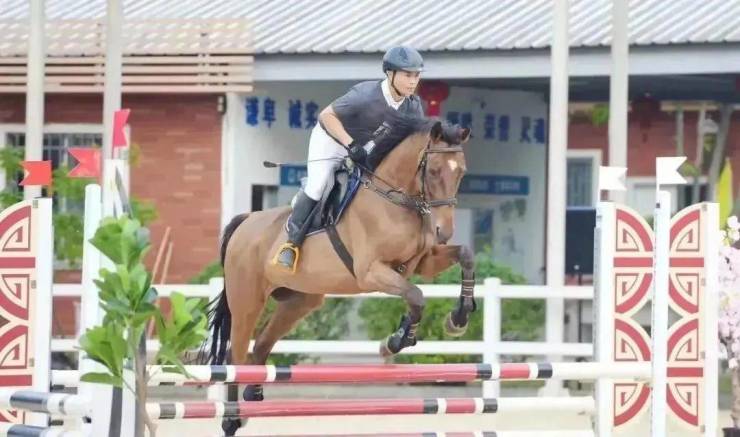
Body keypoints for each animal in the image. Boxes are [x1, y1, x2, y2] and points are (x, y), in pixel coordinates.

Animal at [205, 112, 476, 435]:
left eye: (461, 173)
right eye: (433, 171)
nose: (443, 231)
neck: (395, 199)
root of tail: (246, 221)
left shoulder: (424, 262)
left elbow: (465, 256)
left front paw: (458, 319)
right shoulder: (371, 272)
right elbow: (416, 295)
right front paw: (395, 342)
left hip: (300, 301)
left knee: (259, 347)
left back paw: (252, 396)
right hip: (247, 301)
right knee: (235, 354)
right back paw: (231, 418)